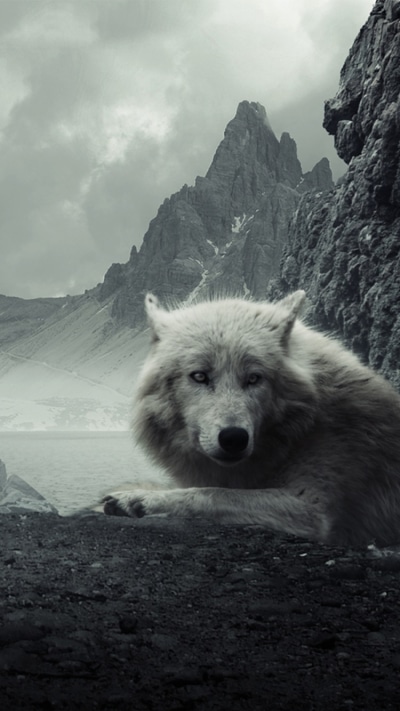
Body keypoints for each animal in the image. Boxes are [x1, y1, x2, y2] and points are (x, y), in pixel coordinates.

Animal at [103, 291, 400, 546]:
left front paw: (140, 498)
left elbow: (212, 493)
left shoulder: (312, 509)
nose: (234, 438)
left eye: (254, 378)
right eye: (199, 376)